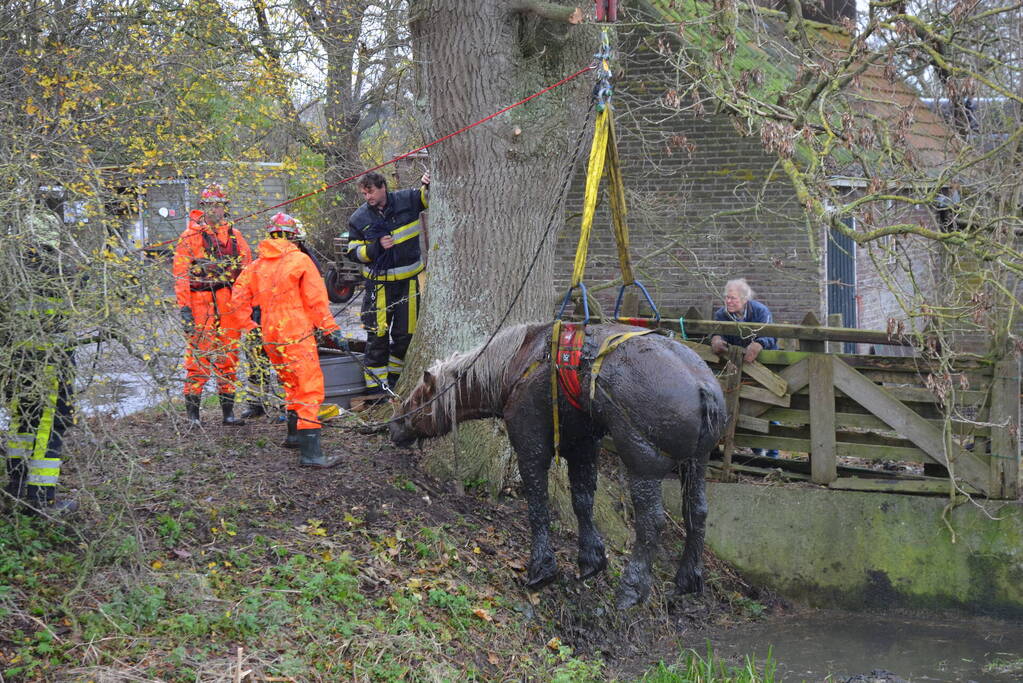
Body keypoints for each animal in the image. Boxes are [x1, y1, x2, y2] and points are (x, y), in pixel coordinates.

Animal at [384, 321, 728, 609]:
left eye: (419, 397)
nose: (393, 425)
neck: (516, 363)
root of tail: (704, 388)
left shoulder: (531, 444)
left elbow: (538, 504)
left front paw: (542, 567)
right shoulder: (582, 444)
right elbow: (582, 501)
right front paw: (591, 559)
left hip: (643, 462)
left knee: (651, 521)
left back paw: (632, 588)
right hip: (696, 463)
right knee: (697, 512)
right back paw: (688, 579)